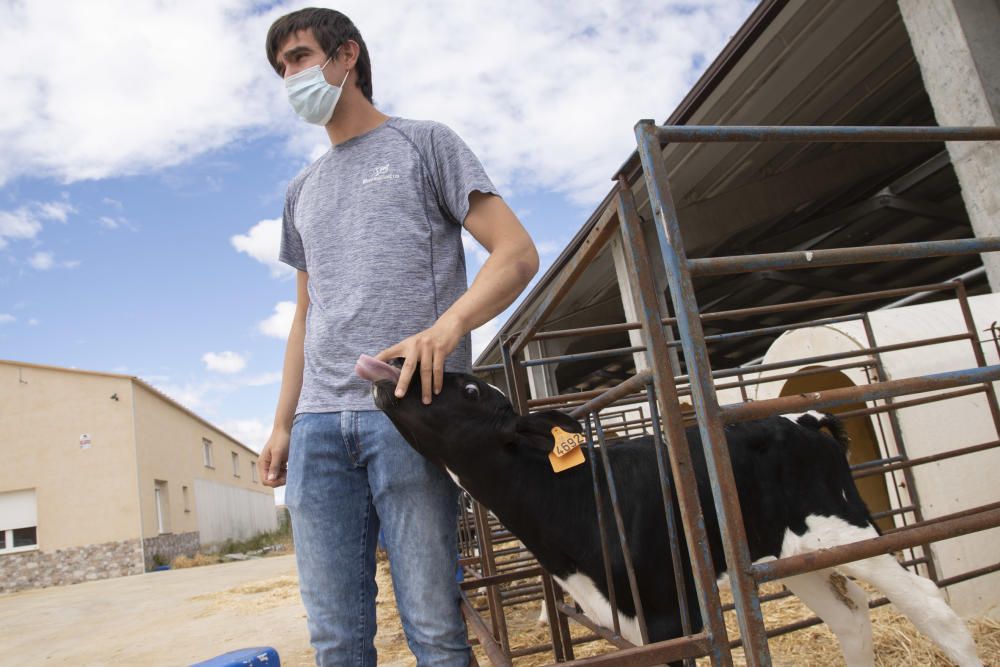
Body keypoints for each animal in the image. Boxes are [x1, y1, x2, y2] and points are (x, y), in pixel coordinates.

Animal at [356, 354, 980, 667]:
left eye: (469, 391)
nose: (395, 360)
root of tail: (803, 418)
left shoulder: (671, 616)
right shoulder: (634, 626)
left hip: (846, 530)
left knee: (934, 607)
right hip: (788, 553)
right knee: (850, 618)